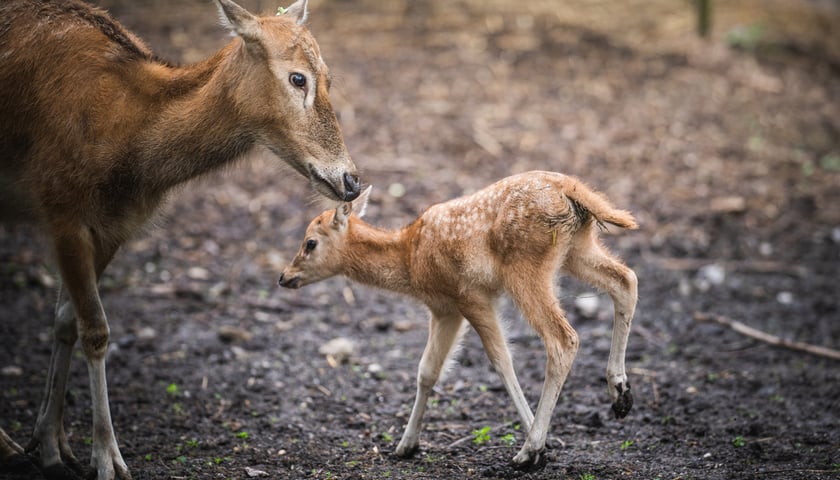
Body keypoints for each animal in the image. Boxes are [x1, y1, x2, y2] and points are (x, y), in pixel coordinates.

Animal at [0, 0, 360, 480]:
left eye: (329, 77)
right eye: (298, 78)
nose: (351, 181)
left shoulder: (114, 226)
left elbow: (65, 321)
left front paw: (51, 445)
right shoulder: (61, 208)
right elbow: (95, 330)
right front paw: (107, 459)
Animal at [278, 172, 640, 464]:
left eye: (310, 243)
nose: (284, 277)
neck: (409, 258)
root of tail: (571, 190)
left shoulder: (469, 296)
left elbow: (500, 360)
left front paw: (540, 445)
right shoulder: (445, 309)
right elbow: (427, 371)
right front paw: (406, 445)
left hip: (526, 269)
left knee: (563, 338)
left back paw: (528, 450)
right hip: (578, 249)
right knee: (626, 280)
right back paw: (620, 394)